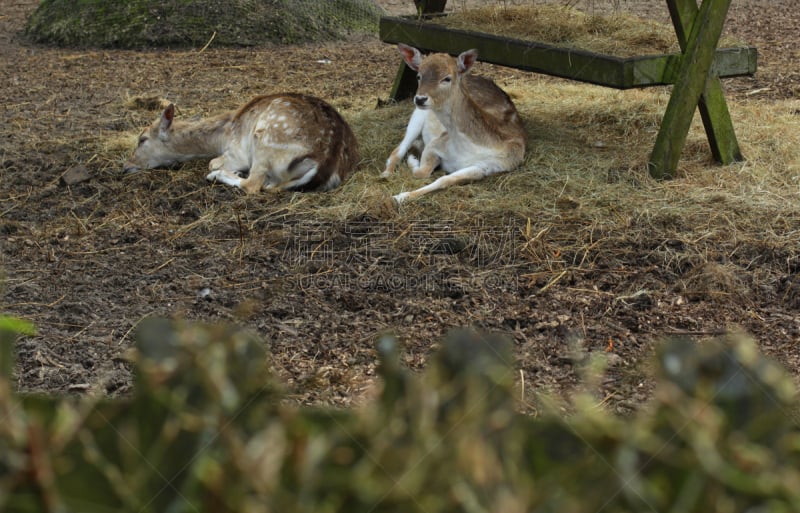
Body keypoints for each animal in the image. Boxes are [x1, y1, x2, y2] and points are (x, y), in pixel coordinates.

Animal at [125, 93, 360, 193]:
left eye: (142, 139)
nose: (126, 166)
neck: (222, 136)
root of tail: (327, 164)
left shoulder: (236, 152)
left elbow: (212, 162)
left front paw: (220, 170)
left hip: (265, 141)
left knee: (253, 185)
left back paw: (218, 176)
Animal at [384, 44, 528, 204]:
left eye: (447, 78)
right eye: (418, 76)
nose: (420, 99)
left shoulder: (491, 165)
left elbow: (444, 179)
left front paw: (400, 196)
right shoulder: (436, 143)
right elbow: (422, 172)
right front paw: (399, 193)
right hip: (418, 115)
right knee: (400, 147)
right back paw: (386, 173)